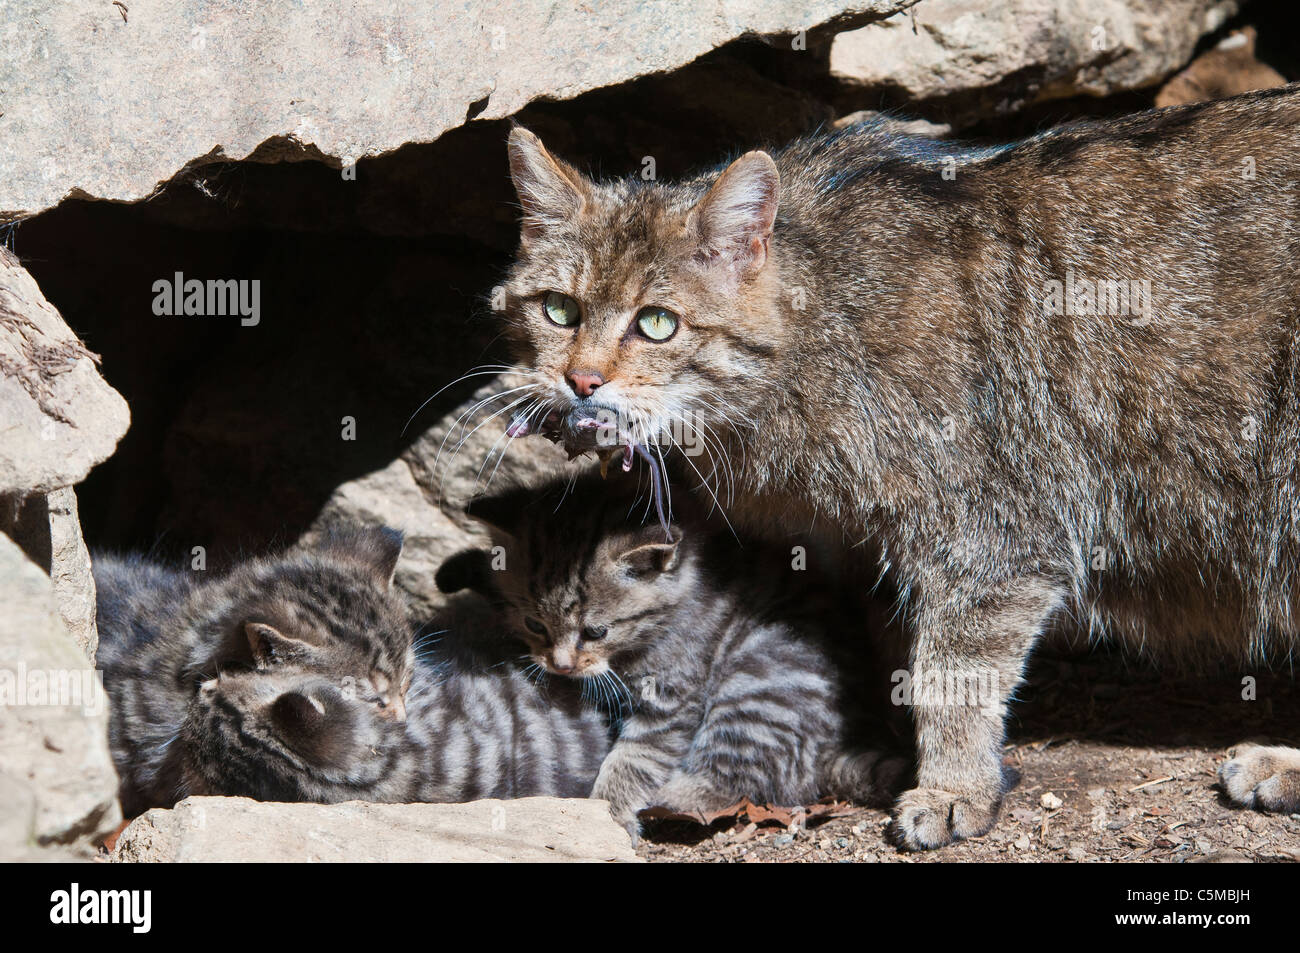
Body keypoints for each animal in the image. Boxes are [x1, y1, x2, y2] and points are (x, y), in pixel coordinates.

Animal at [447, 478, 915, 837]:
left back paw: (672, 799)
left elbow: (634, 759)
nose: (560, 666)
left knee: (735, 774)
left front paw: (606, 814)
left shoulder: (673, 696)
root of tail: (835, 748)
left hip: (758, 685)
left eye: (596, 632)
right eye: (534, 624)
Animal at [496, 87, 1300, 847]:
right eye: (558, 309)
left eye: (657, 323)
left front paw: (951, 787)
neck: (824, 321)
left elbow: (950, 675)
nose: (581, 380)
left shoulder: (992, 542)